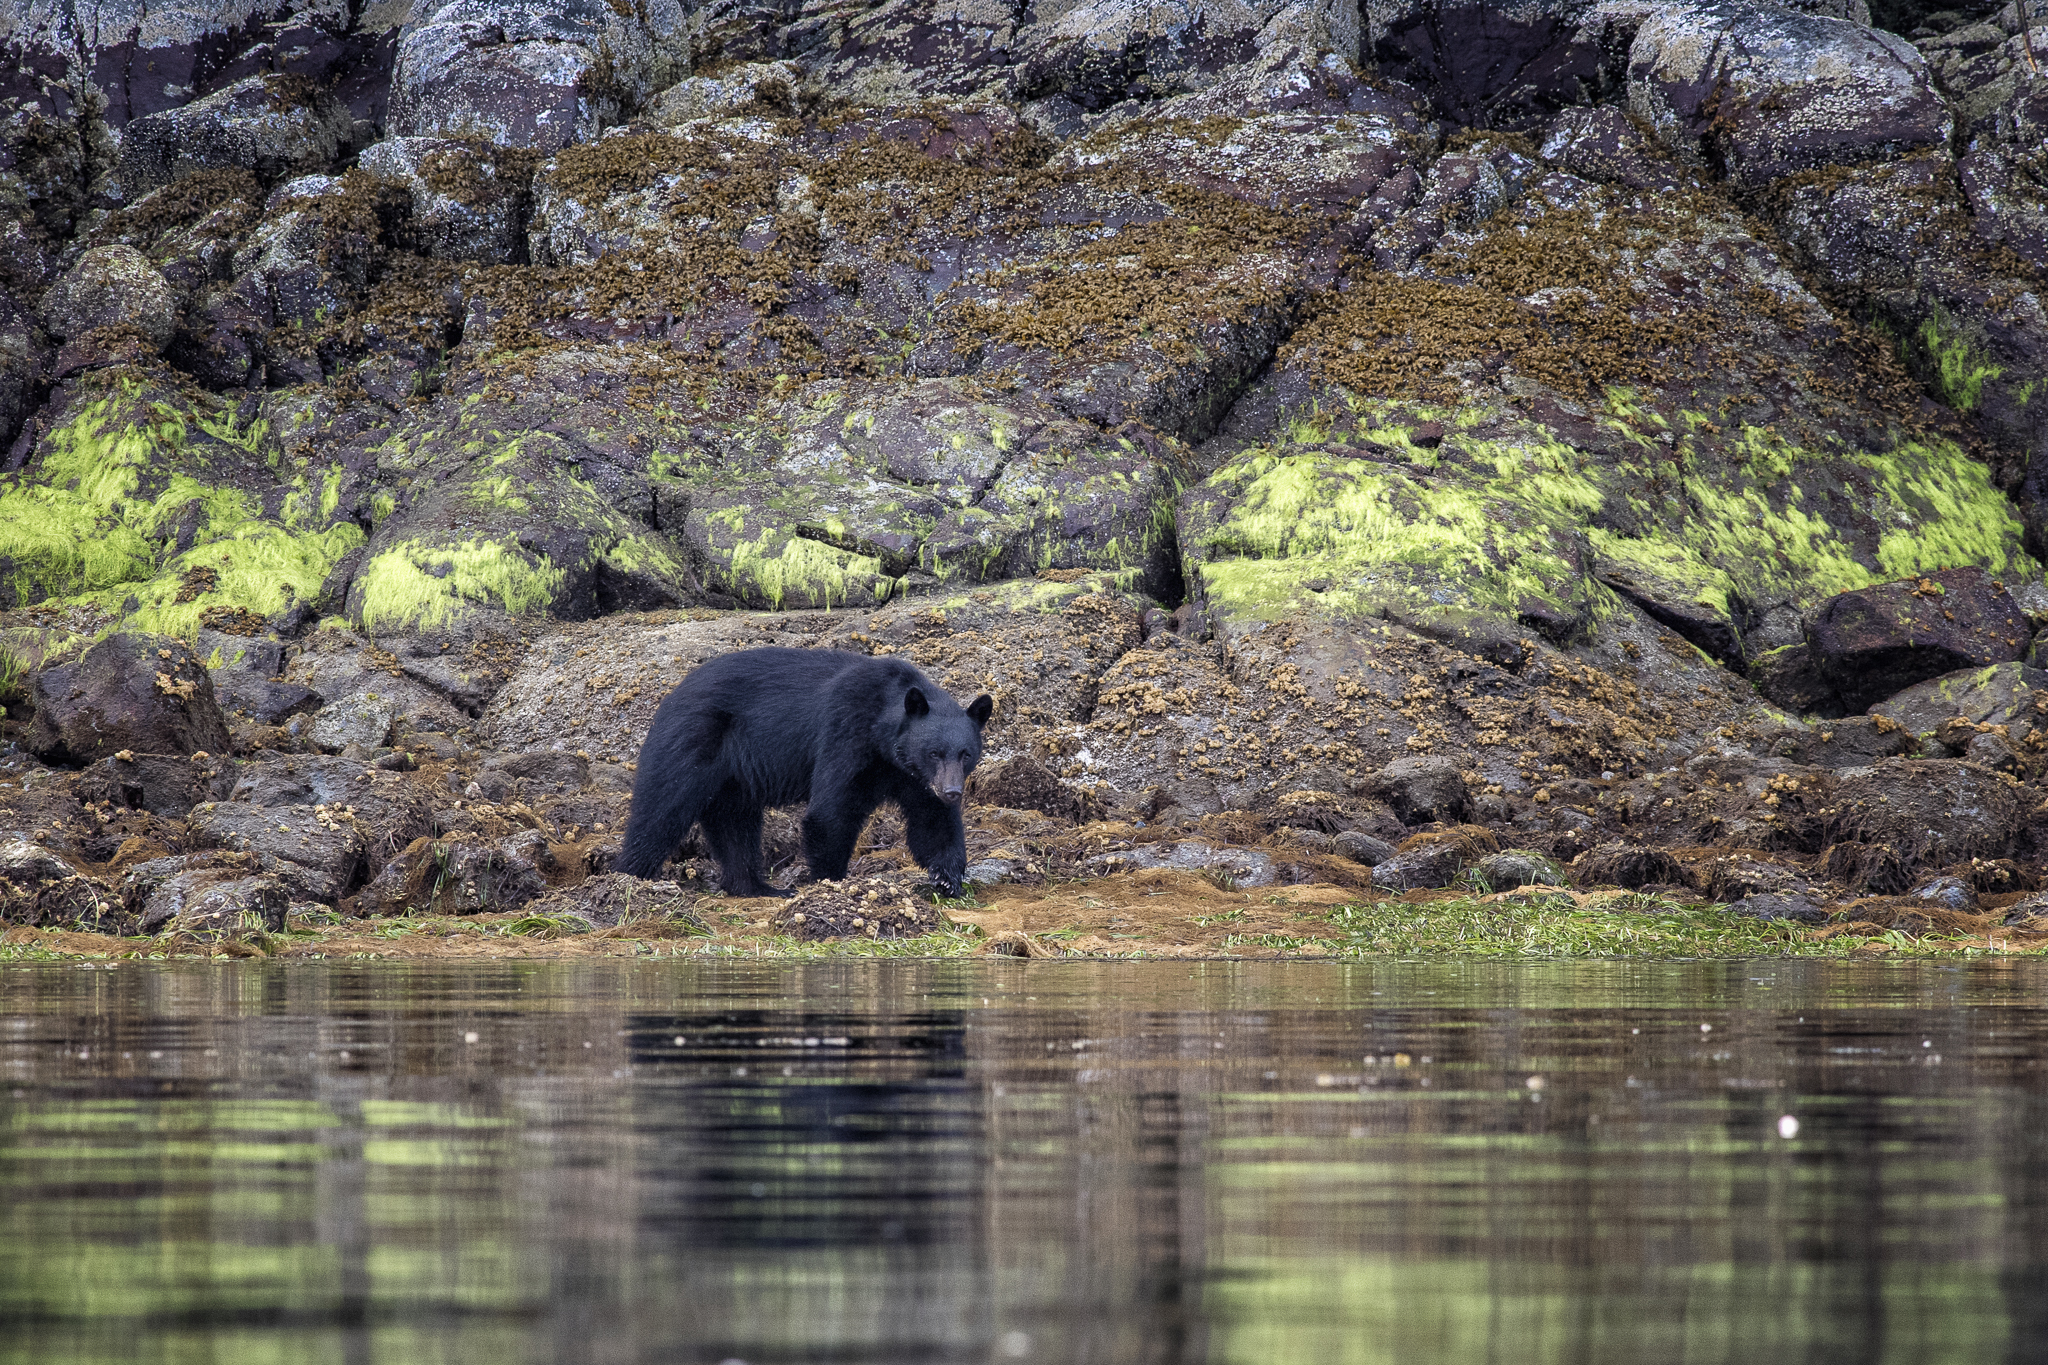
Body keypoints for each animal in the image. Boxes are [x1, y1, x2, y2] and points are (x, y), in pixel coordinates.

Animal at [615, 647, 995, 896]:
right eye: (934, 752)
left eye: (966, 754)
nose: (952, 792)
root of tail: (670, 695)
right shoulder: (846, 734)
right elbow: (831, 811)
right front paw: (832, 880)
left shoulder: (912, 775)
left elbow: (931, 820)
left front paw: (947, 877)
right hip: (692, 740)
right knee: (662, 809)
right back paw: (631, 875)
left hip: (732, 778)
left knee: (735, 824)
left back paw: (756, 887)